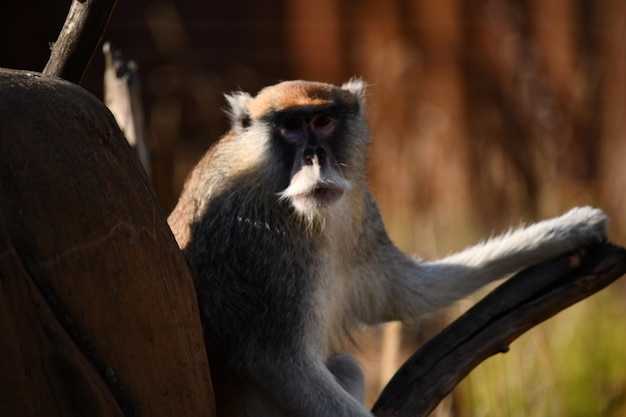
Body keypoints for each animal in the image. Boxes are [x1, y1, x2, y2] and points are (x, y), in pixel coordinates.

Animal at [168, 79, 608, 416]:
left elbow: (402, 293)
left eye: (323, 122)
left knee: (346, 363)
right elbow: (277, 363)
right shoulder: (255, 243)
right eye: (291, 126)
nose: (315, 157)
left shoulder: (361, 214)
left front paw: (573, 229)